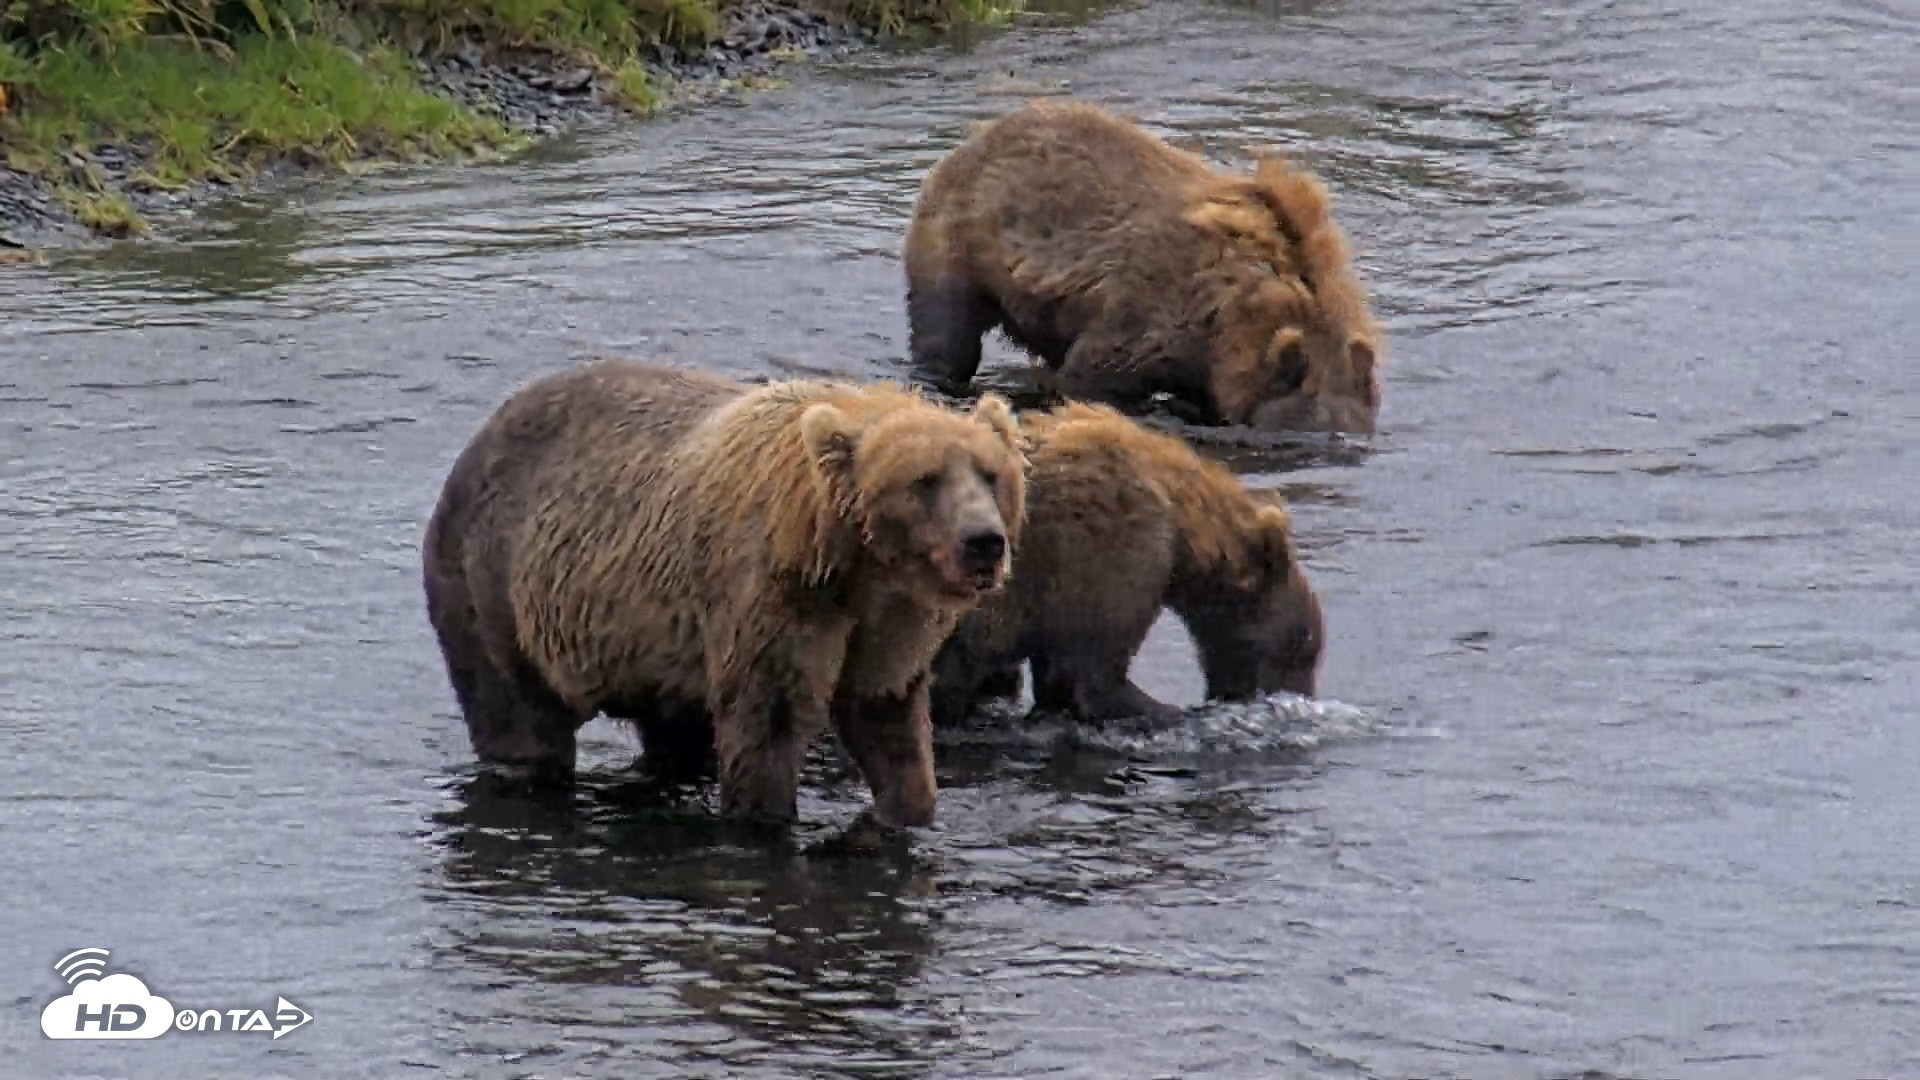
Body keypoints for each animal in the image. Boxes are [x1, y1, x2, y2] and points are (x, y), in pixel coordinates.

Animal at [421, 357, 1030, 828]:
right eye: (924, 481)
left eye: (990, 474)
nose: (984, 542)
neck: (847, 562)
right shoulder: (770, 601)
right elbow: (767, 726)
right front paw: (766, 817)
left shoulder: (888, 621)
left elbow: (887, 715)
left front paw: (907, 809)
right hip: (493, 587)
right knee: (517, 715)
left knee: (672, 730)